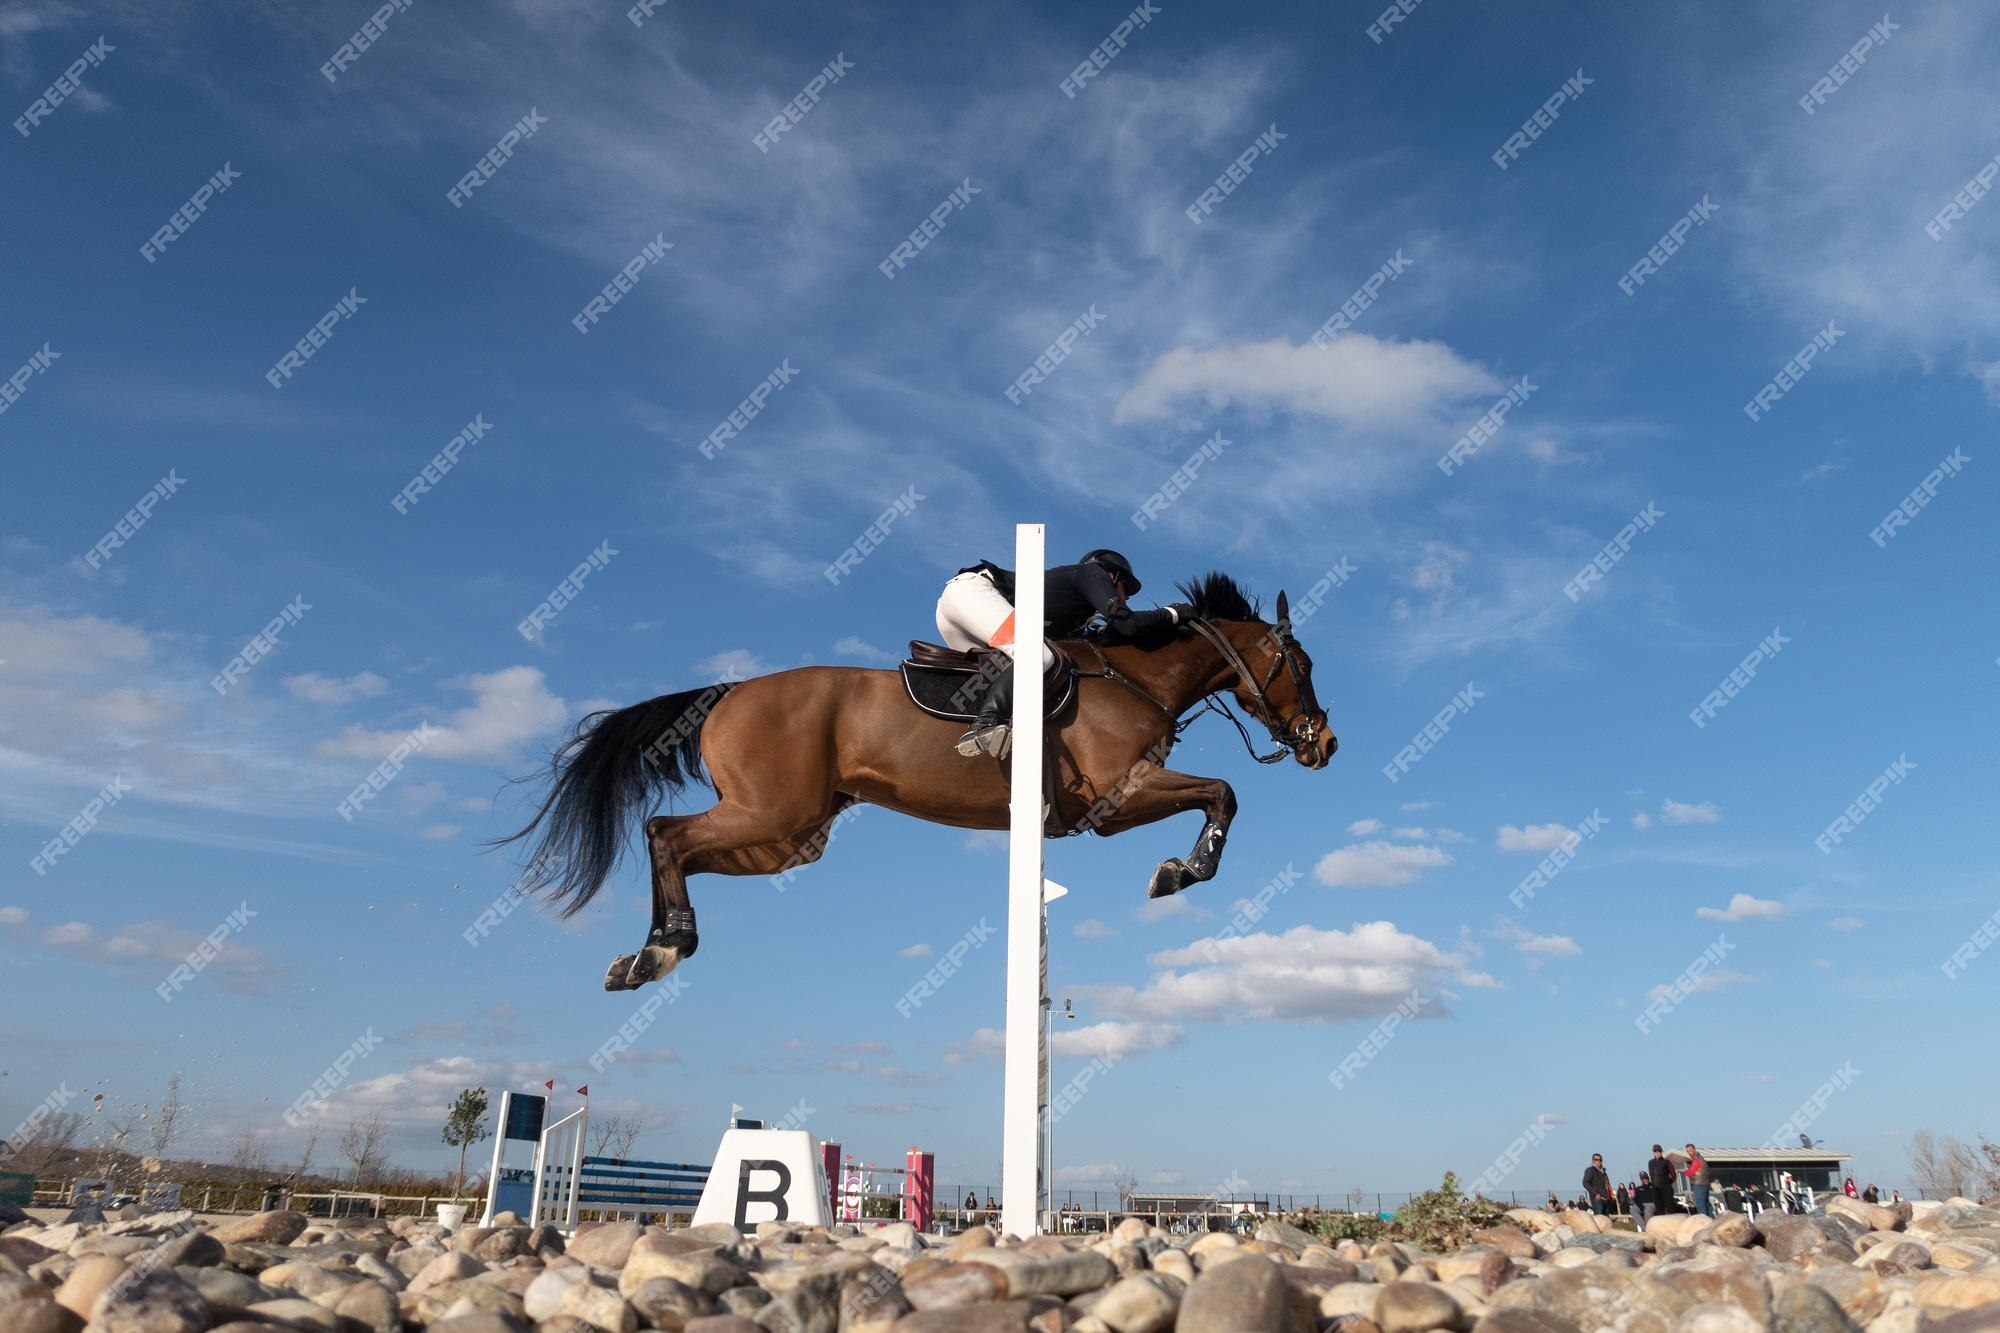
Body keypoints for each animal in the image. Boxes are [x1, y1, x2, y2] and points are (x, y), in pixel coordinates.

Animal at [496, 572, 1344, 984]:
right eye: (1300, 663)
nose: (1326, 743)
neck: (1138, 674)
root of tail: (728, 691)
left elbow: (1221, 793)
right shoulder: (1118, 793)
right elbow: (1224, 792)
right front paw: (1180, 871)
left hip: (789, 835)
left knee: (673, 842)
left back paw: (651, 951)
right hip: (771, 811)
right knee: (664, 832)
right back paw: (664, 948)